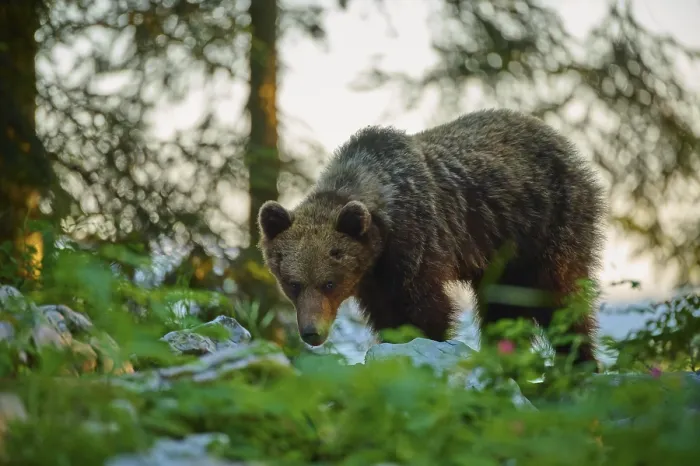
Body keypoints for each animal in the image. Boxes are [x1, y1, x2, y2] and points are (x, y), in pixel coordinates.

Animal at [257, 108, 606, 370]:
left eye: (329, 282)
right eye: (293, 283)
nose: (311, 332)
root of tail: (559, 138)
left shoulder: (417, 243)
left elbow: (427, 310)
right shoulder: (375, 278)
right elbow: (388, 318)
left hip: (548, 225)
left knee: (561, 299)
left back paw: (580, 364)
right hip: (503, 255)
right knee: (502, 308)